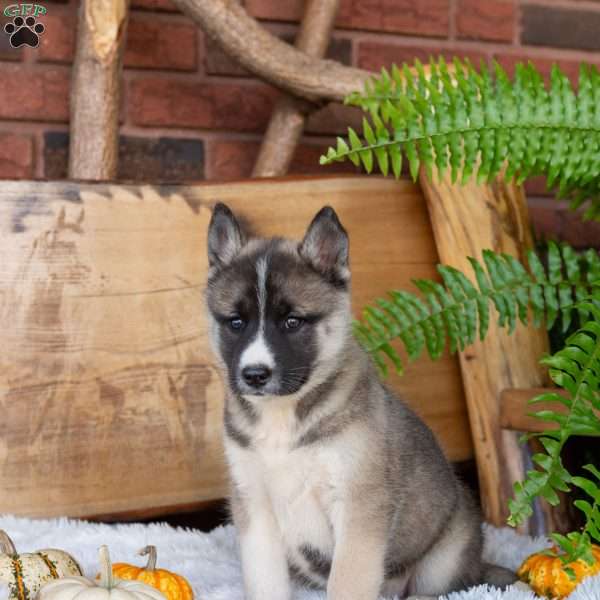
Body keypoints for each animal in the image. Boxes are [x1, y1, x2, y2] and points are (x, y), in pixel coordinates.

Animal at [204, 204, 512, 596]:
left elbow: (347, 582)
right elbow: (264, 582)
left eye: (292, 322)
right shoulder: (254, 505)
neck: (283, 418)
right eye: (235, 322)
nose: (254, 375)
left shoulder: (358, 507)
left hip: (445, 558)